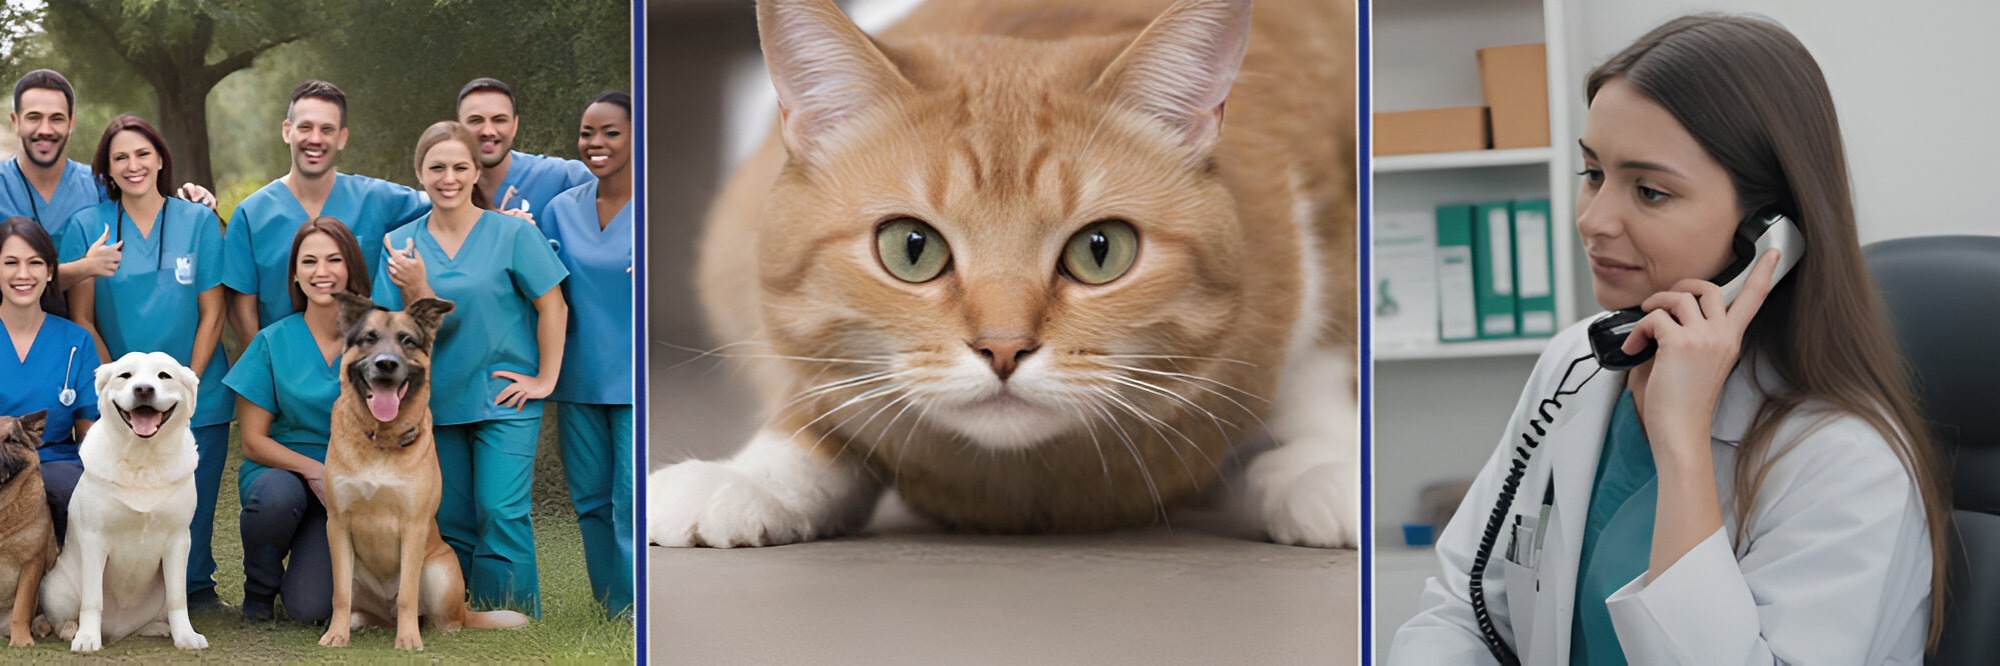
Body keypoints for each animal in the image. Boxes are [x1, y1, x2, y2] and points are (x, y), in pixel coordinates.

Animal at [39, 350, 207, 652]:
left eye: (164, 375)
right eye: (125, 375)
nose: (143, 389)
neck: (142, 460)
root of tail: (117, 630)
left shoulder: (178, 539)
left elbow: (178, 599)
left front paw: (186, 637)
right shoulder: (95, 538)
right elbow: (93, 599)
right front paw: (87, 638)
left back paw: (158, 628)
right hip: (56, 587)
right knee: (64, 615)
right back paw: (71, 629)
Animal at [316, 292, 528, 648]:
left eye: (407, 340)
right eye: (369, 338)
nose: (386, 364)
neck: (382, 439)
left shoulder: (413, 526)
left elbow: (407, 595)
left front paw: (408, 641)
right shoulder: (338, 525)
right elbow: (339, 594)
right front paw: (336, 635)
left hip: (438, 571)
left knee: (438, 617)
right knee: (363, 609)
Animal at [644, 0, 1360, 544]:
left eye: (1101, 250)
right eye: (912, 248)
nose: (1005, 348)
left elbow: (1320, 365)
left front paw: (1326, 466)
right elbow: (816, 407)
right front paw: (755, 476)